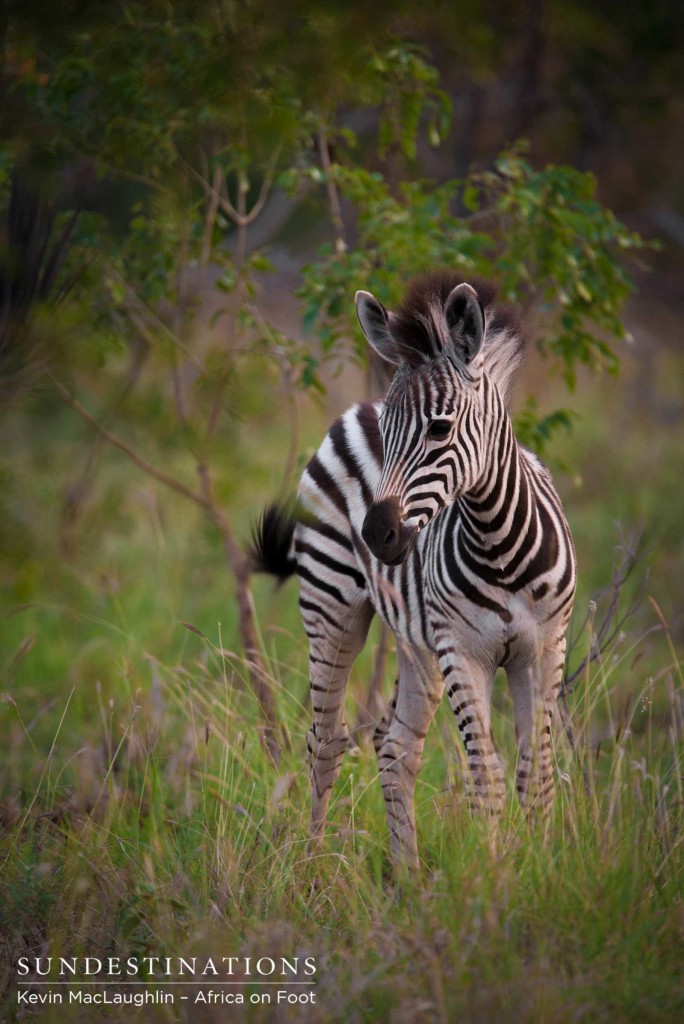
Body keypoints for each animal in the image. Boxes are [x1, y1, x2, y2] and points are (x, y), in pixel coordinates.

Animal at [249, 268, 573, 868]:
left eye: (440, 429)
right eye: (390, 433)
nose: (377, 534)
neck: (501, 547)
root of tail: (358, 407)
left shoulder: (544, 647)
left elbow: (534, 774)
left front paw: (544, 873)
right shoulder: (464, 650)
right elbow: (486, 778)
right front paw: (493, 878)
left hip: (416, 641)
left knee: (394, 745)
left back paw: (406, 873)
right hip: (332, 607)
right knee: (326, 740)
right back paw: (312, 863)